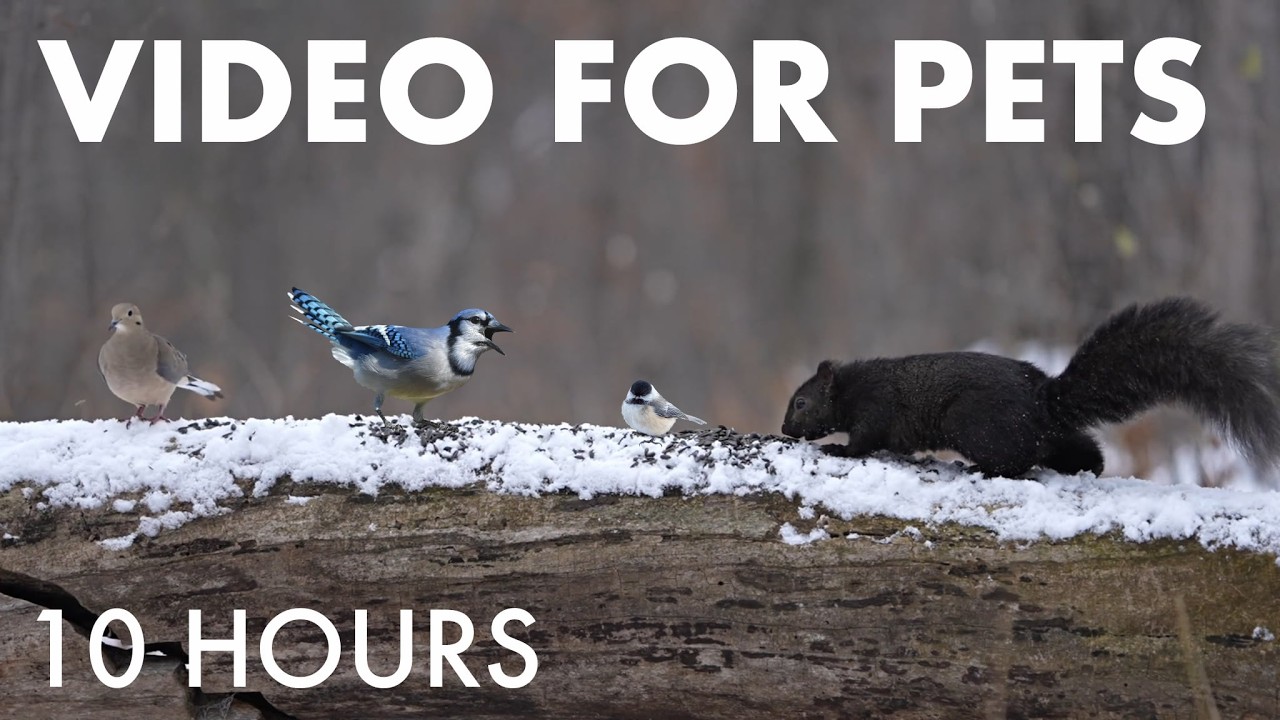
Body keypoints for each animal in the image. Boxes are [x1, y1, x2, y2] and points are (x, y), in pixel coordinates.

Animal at [781, 298, 1280, 477]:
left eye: (801, 402)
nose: (785, 430)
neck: (847, 388)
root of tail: (1043, 402)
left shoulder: (876, 406)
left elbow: (865, 440)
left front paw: (836, 448)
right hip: (1050, 436)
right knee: (1075, 450)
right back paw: (1088, 468)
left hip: (976, 423)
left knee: (1016, 462)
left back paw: (982, 470)